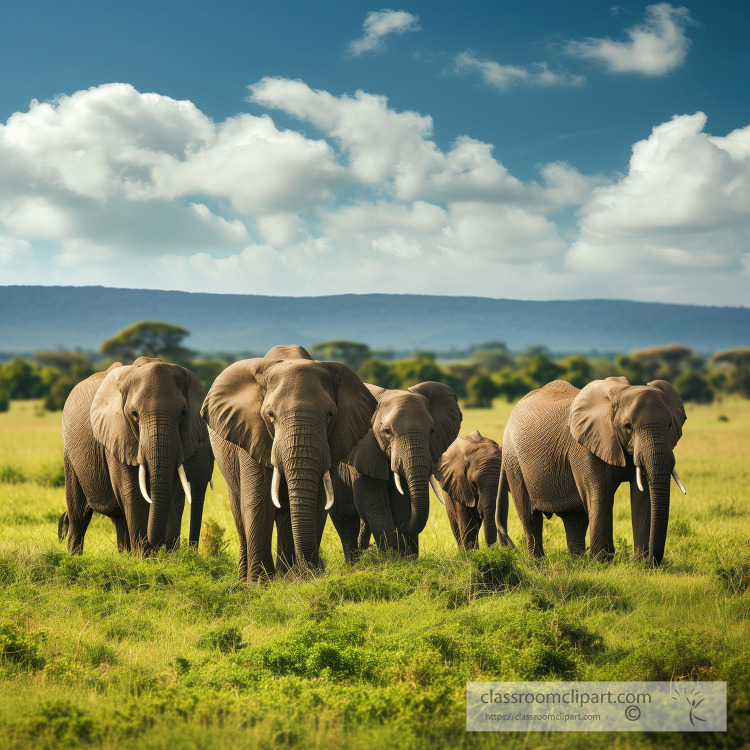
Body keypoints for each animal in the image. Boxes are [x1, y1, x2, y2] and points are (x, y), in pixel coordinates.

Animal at [59, 358, 213, 560]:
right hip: (70, 452)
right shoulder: (117, 434)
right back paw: (74, 558)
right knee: (79, 513)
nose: (160, 545)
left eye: (182, 413)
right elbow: (133, 492)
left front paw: (170, 557)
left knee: (119, 519)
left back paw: (125, 556)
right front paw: (145, 558)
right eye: (134, 414)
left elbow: (174, 491)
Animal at [201, 344, 378, 584]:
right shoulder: (251, 433)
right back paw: (246, 581)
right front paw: (260, 584)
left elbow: (318, 502)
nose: (317, 568)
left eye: (330, 414)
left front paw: (300, 580)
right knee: (240, 513)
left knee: (286, 518)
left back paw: (285, 576)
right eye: (270, 414)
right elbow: (258, 503)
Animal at [330, 382, 464, 564]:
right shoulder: (361, 450)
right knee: (344, 518)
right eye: (387, 431)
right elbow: (374, 503)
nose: (402, 527)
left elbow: (402, 502)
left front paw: (406, 558)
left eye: (432, 431)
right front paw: (392, 559)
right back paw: (354, 564)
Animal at [500, 378, 688, 568]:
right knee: (529, 515)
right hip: (513, 462)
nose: (653, 562)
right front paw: (603, 563)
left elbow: (642, 498)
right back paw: (538, 563)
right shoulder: (585, 447)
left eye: (670, 425)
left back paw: (578, 563)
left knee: (574, 518)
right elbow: (600, 495)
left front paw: (640, 565)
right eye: (628, 426)